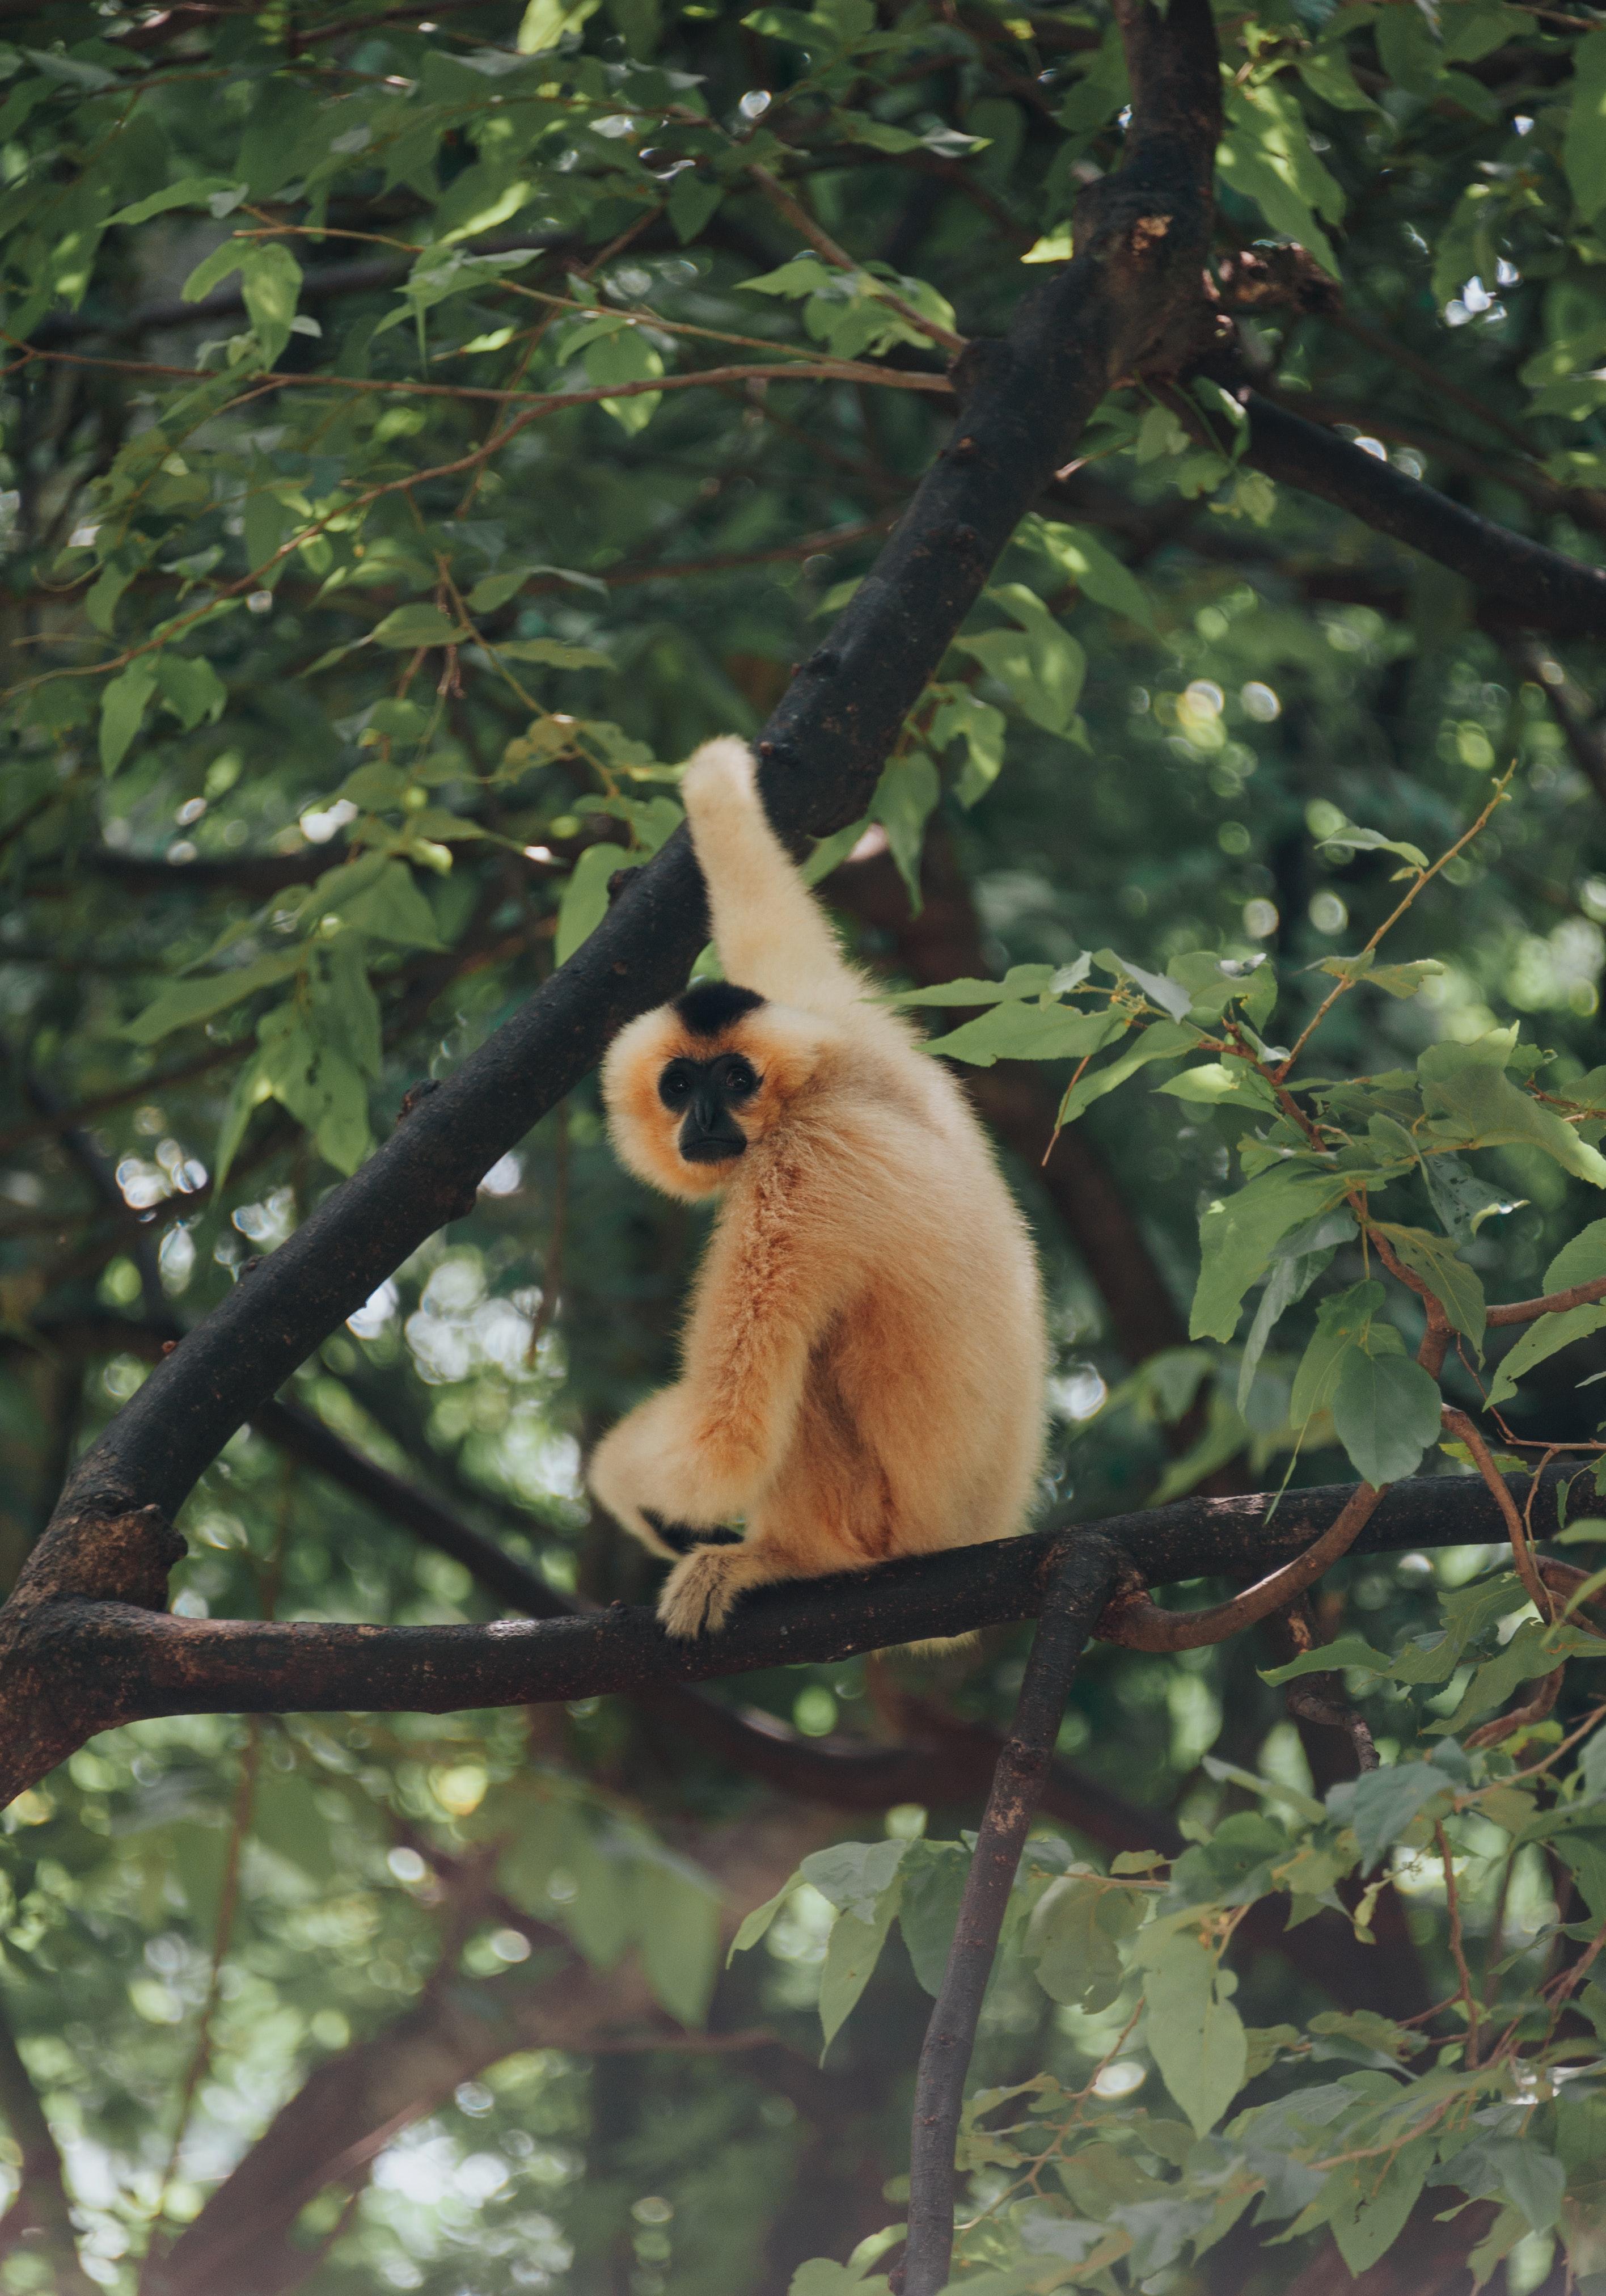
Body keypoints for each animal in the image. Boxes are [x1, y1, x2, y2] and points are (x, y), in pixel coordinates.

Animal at [588, 737, 1048, 1639]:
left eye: (736, 1079)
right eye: (679, 1084)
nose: (706, 1114)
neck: (818, 1092)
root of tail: (975, 1534)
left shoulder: (792, 1184)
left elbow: (726, 1438)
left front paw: (622, 1482)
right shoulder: (839, 1018)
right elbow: (776, 927)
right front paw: (720, 785)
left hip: (877, 1522)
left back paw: (777, 1559)